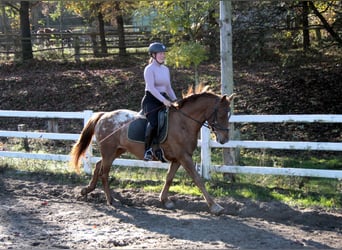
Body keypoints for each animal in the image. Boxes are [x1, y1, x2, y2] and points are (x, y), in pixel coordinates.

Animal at [69, 86, 235, 215]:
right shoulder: (184, 157)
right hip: (109, 151)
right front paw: (215, 207)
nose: (224, 139)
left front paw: (165, 201)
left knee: (98, 166)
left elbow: (169, 178)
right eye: (221, 114)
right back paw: (111, 200)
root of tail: (104, 115)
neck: (183, 122)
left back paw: (87, 190)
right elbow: (198, 180)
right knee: (104, 173)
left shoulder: (178, 158)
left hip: (116, 150)